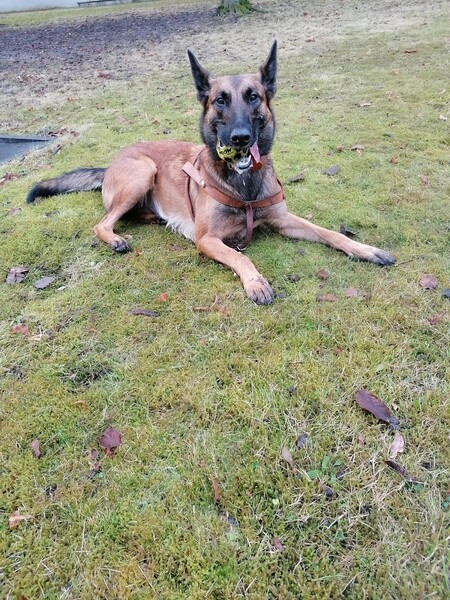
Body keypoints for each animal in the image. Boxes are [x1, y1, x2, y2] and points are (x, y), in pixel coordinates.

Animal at [27, 41, 394, 304]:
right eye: (220, 100)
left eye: (253, 97)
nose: (240, 138)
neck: (243, 187)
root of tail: (112, 163)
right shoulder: (208, 239)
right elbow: (239, 257)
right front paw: (256, 282)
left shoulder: (283, 219)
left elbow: (330, 233)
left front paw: (365, 249)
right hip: (144, 170)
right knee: (102, 223)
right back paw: (116, 237)